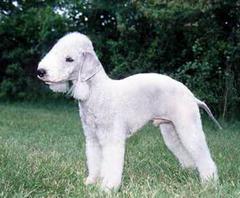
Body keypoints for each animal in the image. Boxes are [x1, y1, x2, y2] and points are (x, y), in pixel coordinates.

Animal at [37, 32, 221, 192]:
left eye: (69, 59)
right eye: (54, 50)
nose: (41, 72)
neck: (96, 92)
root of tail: (193, 97)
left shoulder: (112, 138)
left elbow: (111, 165)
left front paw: (108, 188)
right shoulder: (92, 139)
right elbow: (95, 161)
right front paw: (91, 182)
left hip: (187, 126)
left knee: (202, 154)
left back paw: (209, 182)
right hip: (170, 130)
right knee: (185, 153)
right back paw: (189, 172)